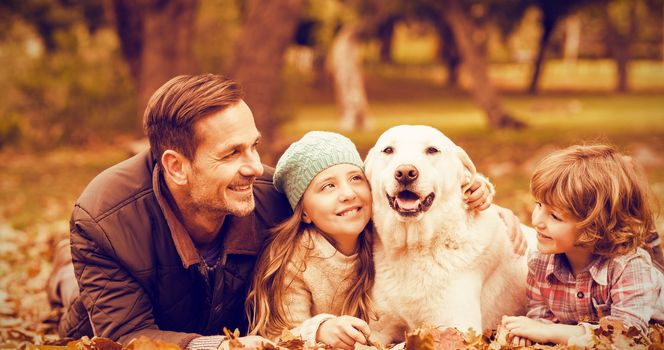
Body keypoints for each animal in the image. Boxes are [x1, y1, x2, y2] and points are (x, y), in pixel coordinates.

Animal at [366, 124, 536, 344]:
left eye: (432, 150)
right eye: (388, 150)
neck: (412, 248)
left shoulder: (455, 327)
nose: (405, 172)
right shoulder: (376, 328)